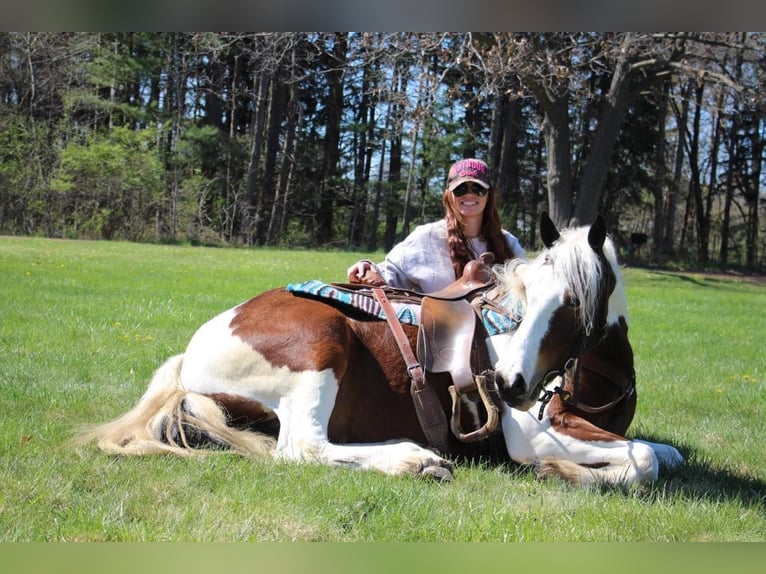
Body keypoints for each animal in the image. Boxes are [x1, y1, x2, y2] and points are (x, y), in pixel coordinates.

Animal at [78, 214, 684, 488]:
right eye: (525, 292)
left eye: (572, 302)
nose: (510, 384)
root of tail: (191, 354)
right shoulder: (530, 432)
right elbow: (643, 459)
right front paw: (566, 471)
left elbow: (660, 451)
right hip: (319, 348)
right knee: (303, 448)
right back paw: (412, 458)